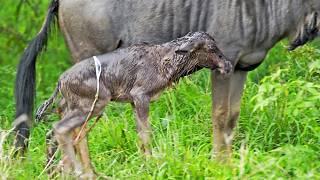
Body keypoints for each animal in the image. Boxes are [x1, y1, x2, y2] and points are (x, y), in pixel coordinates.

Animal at [36, 32, 232, 177]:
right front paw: (151, 164)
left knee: (59, 134)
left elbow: (140, 134)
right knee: (61, 129)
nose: (228, 64)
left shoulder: (133, 102)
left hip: (73, 108)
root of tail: (60, 82)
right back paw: (77, 171)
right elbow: (146, 133)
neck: (164, 62)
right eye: (211, 48)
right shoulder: (141, 97)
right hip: (94, 106)